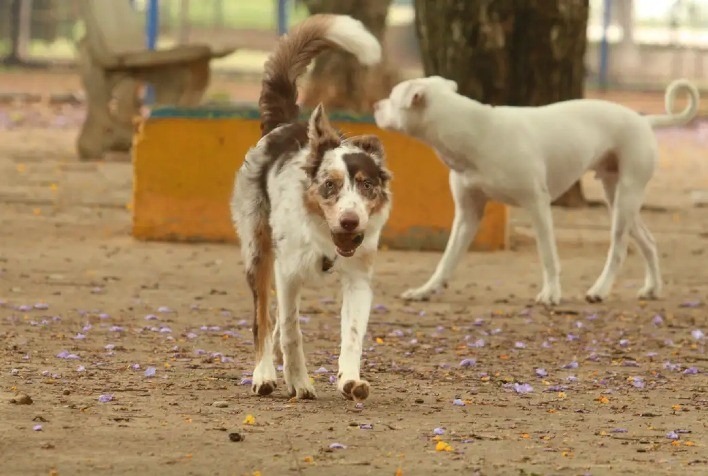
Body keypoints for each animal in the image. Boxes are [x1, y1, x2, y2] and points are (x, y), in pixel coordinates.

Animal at [231, 14, 392, 400]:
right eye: (329, 185)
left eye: (366, 185)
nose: (350, 222)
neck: (325, 239)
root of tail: (284, 125)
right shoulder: (287, 271)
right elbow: (290, 330)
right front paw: (299, 382)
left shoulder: (358, 279)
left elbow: (352, 335)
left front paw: (350, 380)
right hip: (258, 251)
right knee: (263, 320)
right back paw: (265, 374)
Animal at [374, 76, 700, 304]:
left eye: (391, 96)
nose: (376, 105)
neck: (474, 132)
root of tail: (644, 120)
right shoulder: (468, 214)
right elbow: (447, 259)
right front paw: (426, 290)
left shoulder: (538, 205)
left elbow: (547, 254)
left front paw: (552, 293)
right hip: (617, 198)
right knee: (649, 242)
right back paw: (652, 288)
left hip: (625, 199)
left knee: (618, 249)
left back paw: (600, 290)